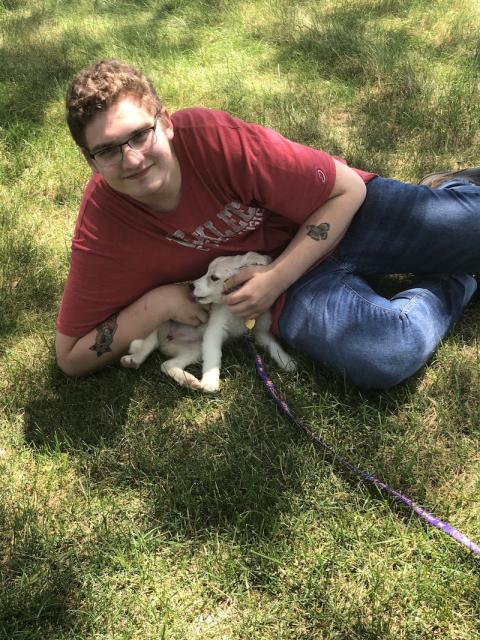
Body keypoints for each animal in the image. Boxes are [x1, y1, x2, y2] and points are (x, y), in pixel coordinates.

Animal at [120, 252, 296, 392]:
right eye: (206, 272)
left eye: (214, 277)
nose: (190, 286)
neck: (237, 312)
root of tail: (165, 340)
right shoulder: (214, 331)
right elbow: (213, 357)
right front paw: (211, 381)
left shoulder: (260, 332)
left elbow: (274, 345)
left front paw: (287, 361)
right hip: (162, 322)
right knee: (150, 342)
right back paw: (134, 359)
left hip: (195, 349)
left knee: (166, 365)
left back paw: (187, 380)